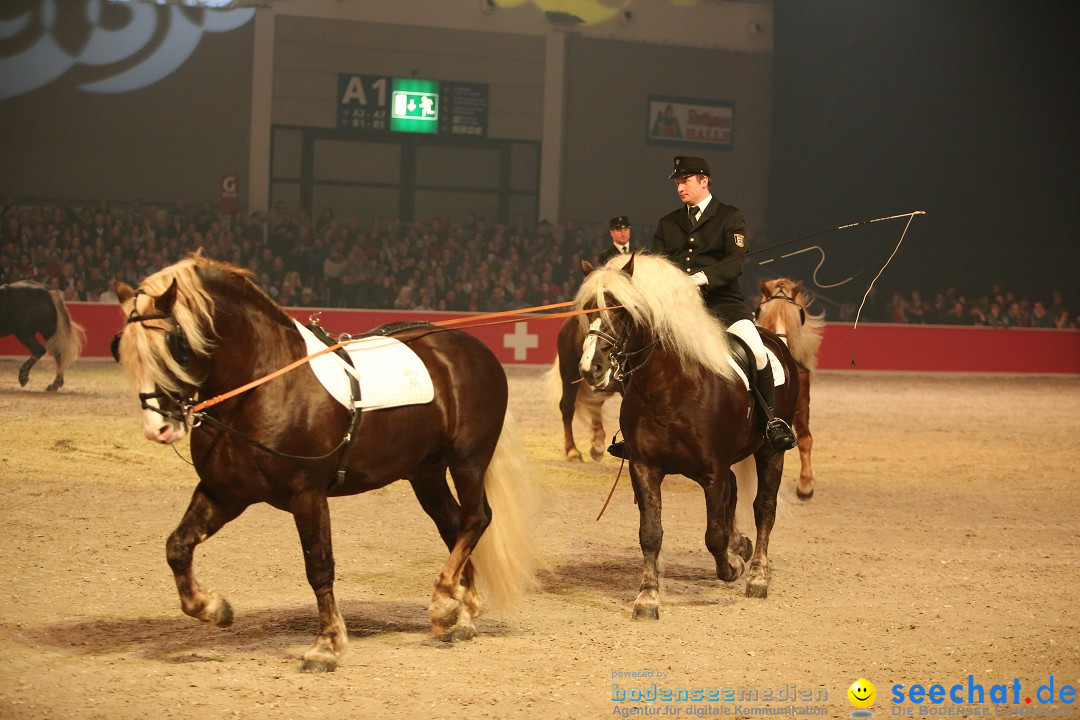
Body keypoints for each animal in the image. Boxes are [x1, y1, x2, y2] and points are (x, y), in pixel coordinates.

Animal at [574, 254, 803, 621]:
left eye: (622, 310)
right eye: (587, 309)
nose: (590, 368)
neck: (668, 387)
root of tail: (775, 340)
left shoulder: (713, 472)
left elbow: (714, 534)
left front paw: (732, 567)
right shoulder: (645, 467)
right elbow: (651, 533)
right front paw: (648, 598)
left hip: (771, 452)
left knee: (764, 508)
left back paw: (757, 576)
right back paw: (741, 547)